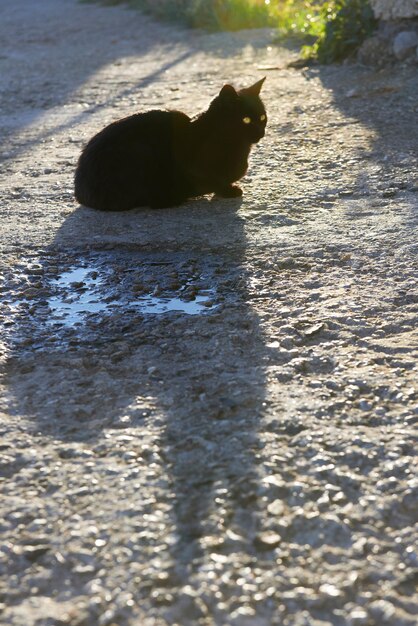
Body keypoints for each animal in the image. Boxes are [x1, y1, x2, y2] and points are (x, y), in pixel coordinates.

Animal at [73, 77, 266, 210]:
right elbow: (213, 181)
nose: (261, 132)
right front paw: (228, 190)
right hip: (141, 153)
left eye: (263, 117)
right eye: (246, 120)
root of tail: (80, 192)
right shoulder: (191, 166)